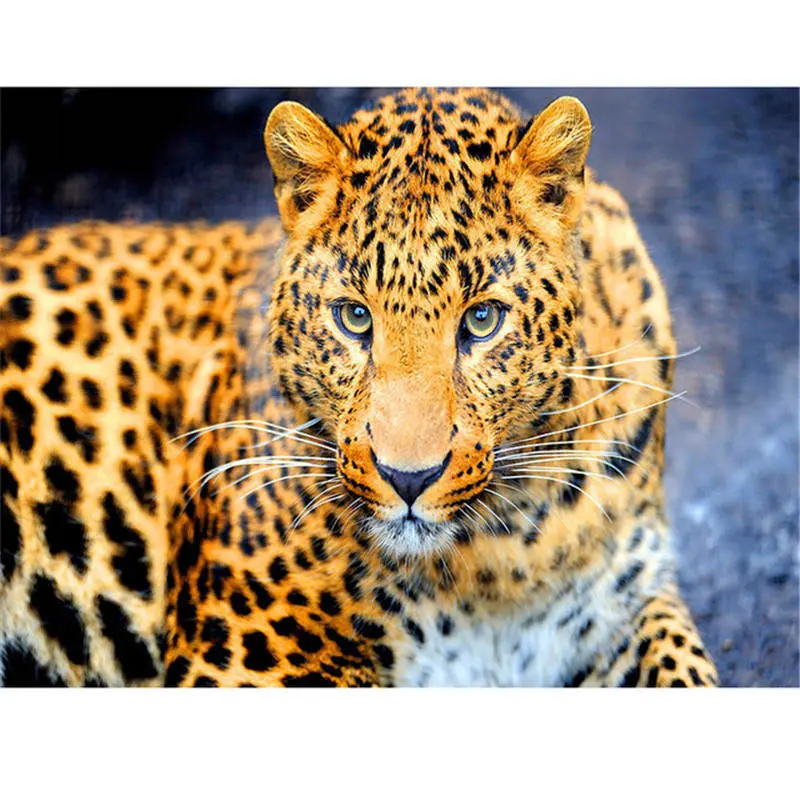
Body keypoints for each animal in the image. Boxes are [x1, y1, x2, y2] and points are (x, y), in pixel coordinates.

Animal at [0, 87, 718, 687]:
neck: (500, 558)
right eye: (353, 318)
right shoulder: (244, 654)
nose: (408, 478)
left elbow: (687, 672)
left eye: (482, 320)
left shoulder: (626, 604)